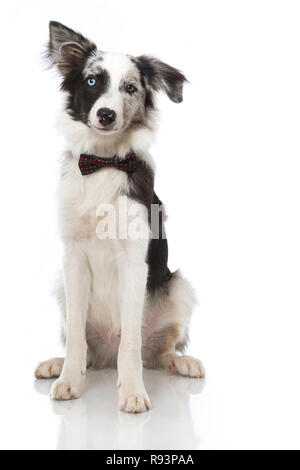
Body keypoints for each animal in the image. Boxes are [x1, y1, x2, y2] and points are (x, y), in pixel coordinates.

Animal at [34, 21, 204, 414]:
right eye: (92, 81)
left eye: (130, 88)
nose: (106, 115)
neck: (102, 162)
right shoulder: (73, 257)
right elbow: (76, 337)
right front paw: (69, 380)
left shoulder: (133, 260)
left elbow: (131, 341)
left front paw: (132, 392)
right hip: (62, 286)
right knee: (87, 350)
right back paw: (56, 365)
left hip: (179, 287)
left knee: (157, 352)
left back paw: (184, 363)